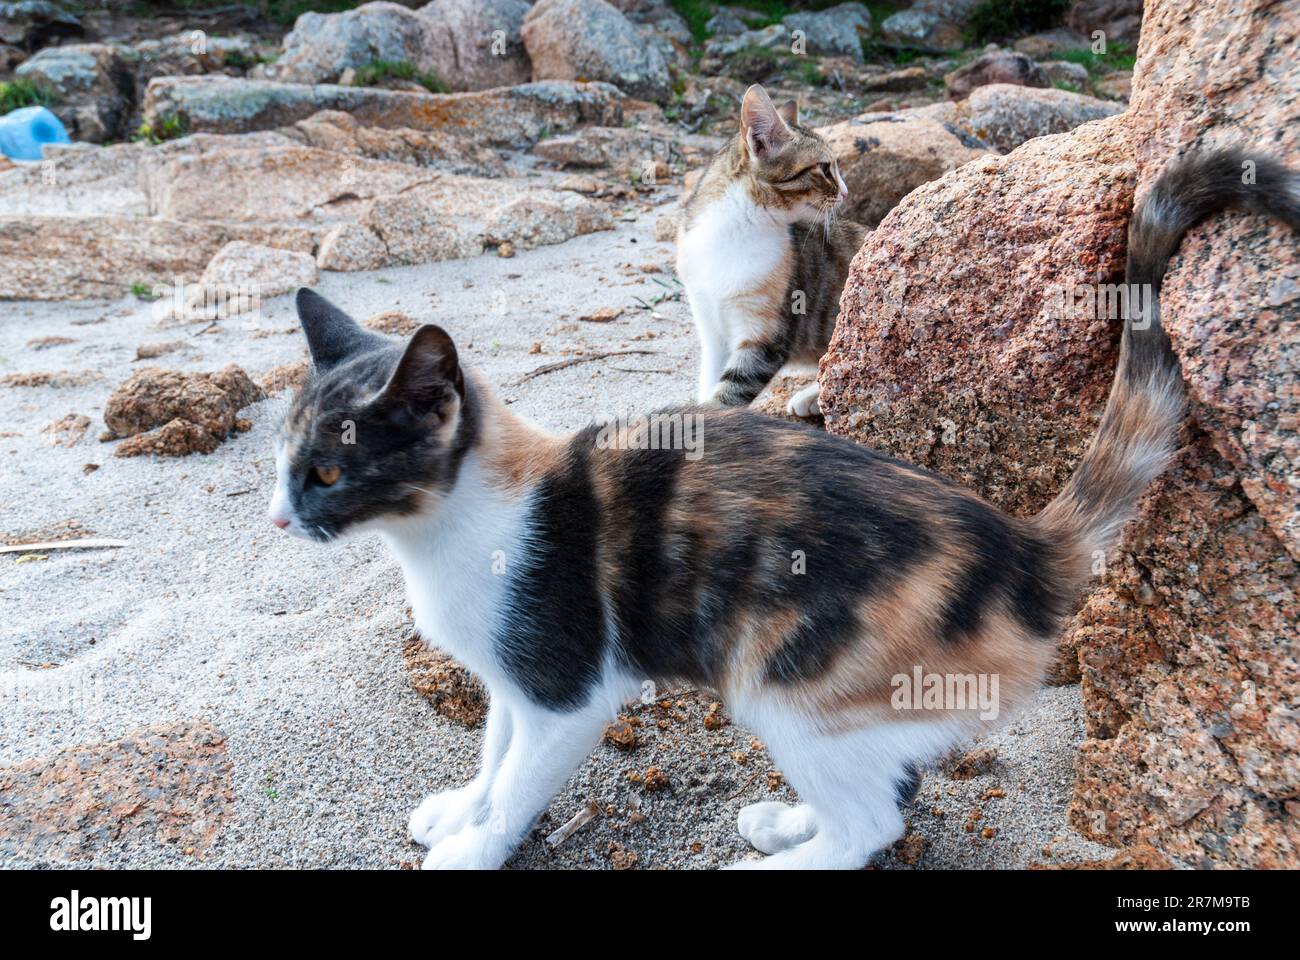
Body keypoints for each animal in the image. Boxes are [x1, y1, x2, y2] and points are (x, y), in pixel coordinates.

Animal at [269, 151, 1294, 868]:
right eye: (282, 460)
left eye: (327, 473)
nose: (279, 521)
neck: (444, 533)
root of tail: (1024, 547)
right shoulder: (514, 680)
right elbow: (493, 755)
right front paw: (463, 809)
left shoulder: (566, 688)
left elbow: (523, 779)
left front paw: (477, 844)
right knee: (885, 790)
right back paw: (789, 822)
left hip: (782, 681)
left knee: (871, 824)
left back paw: (781, 857)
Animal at [676, 87, 868, 416]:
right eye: (824, 168)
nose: (845, 192)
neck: (734, 230)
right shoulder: (709, 324)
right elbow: (709, 382)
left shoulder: (764, 334)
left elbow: (727, 394)